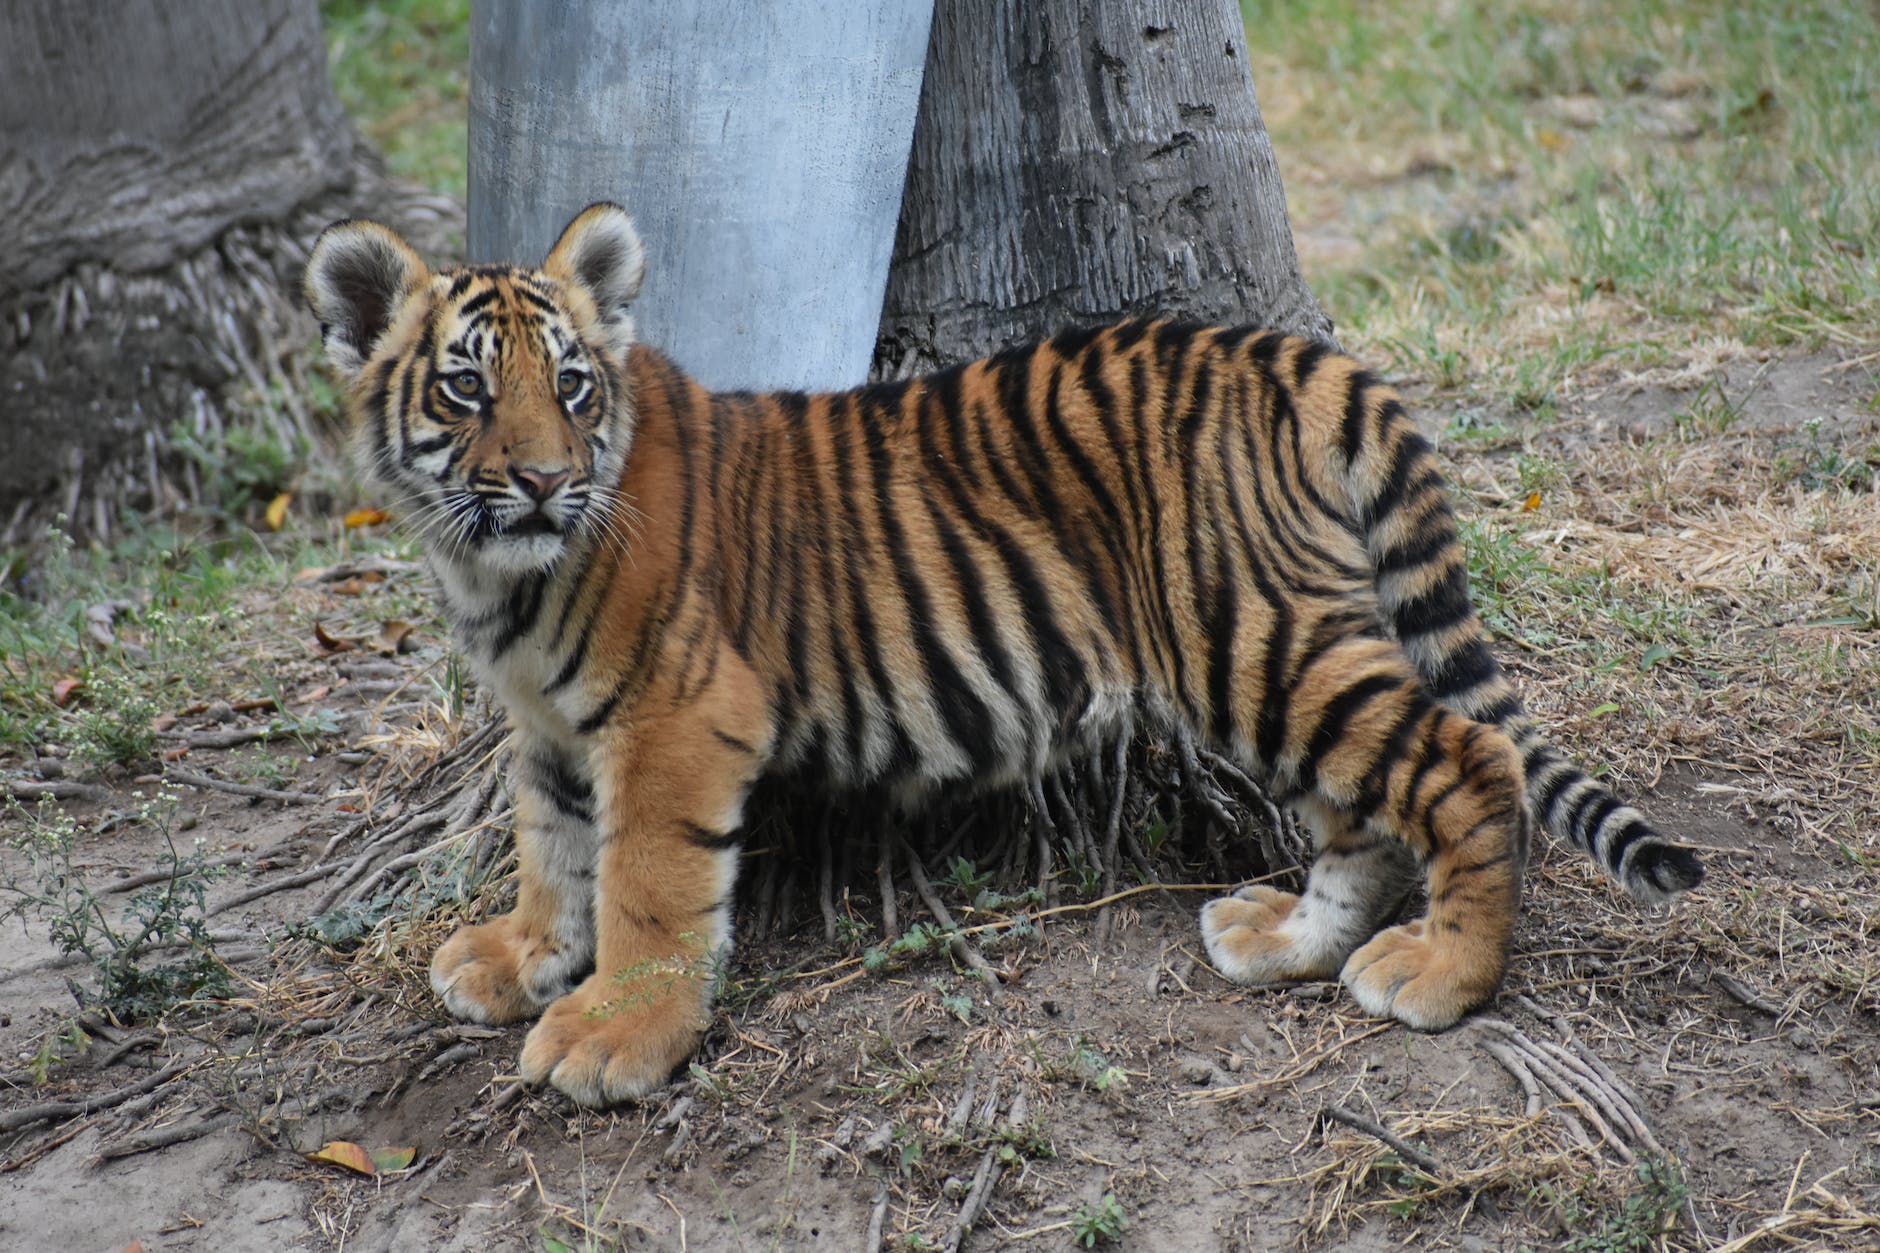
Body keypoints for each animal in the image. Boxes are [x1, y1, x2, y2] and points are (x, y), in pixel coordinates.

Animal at [304, 203, 1704, 1107]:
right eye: (467, 389)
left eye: (573, 386)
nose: (545, 479)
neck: (496, 575)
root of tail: (1285, 350)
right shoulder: (548, 724)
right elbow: (550, 844)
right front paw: (518, 956)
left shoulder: (676, 717)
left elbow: (645, 882)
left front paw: (612, 1035)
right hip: (1277, 652)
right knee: (1360, 808)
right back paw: (1288, 940)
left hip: (1248, 636)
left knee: (1465, 758)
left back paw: (1443, 974)